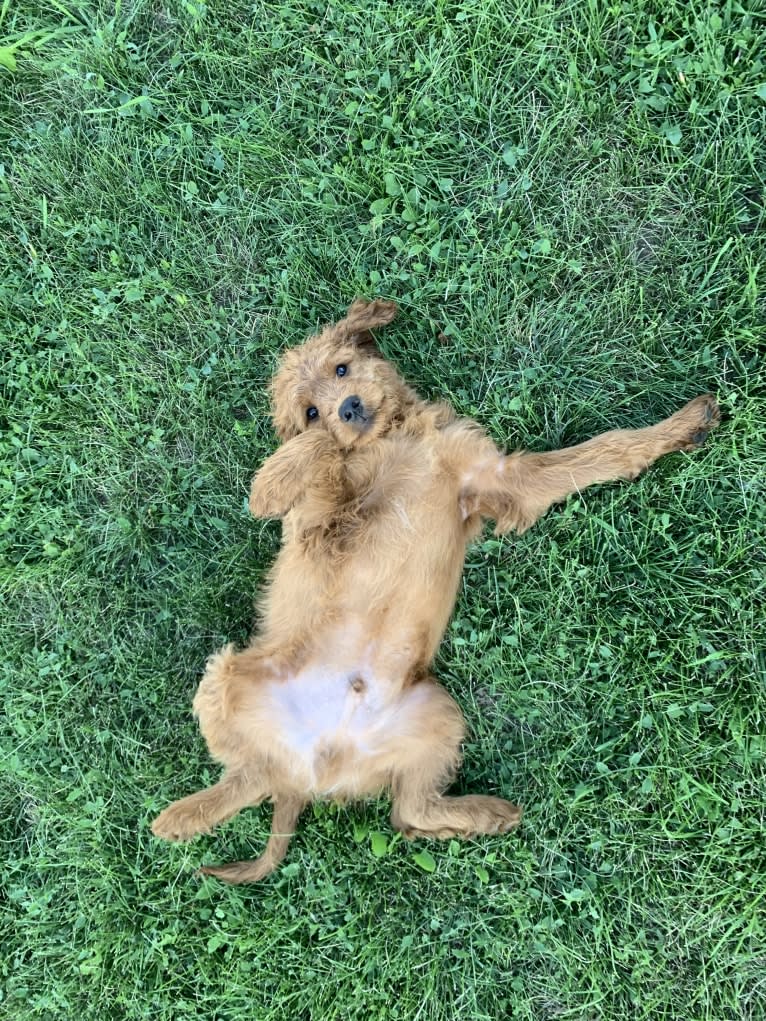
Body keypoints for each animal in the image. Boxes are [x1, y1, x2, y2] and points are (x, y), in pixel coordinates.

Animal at [153, 298, 723, 882]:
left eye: (342, 368)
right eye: (310, 411)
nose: (349, 409)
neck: (395, 440)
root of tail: (316, 770)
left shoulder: (494, 477)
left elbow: (601, 451)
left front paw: (682, 425)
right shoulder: (318, 530)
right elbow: (315, 463)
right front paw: (285, 472)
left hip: (436, 715)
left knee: (407, 812)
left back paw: (487, 814)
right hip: (225, 675)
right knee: (255, 776)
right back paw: (176, 820)